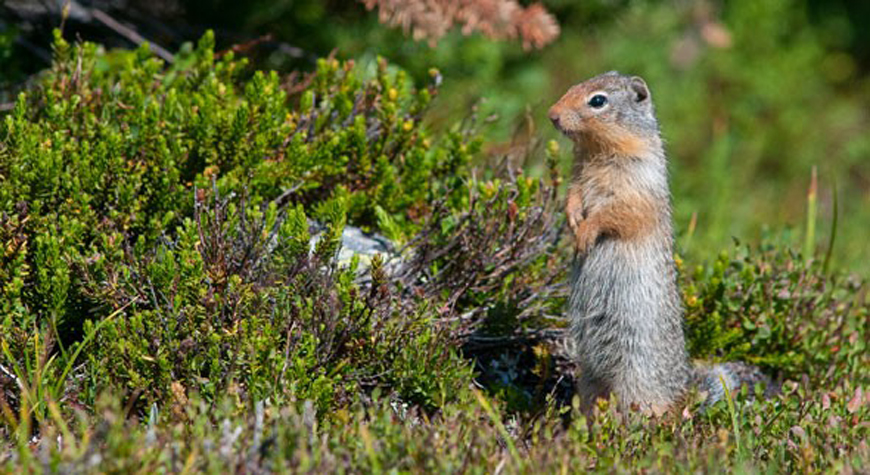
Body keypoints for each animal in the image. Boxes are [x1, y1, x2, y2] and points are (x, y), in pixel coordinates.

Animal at [552, 71, 776, 416]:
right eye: (573, 86)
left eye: (598, 100)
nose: (552, 114)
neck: (596, 152)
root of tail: (684, 394)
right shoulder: (577, 176)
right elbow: (573, 195)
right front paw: (573, 220)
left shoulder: (636, 187)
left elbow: (616, 213)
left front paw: (585, 232)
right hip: (589, 377)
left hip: (636, 379)